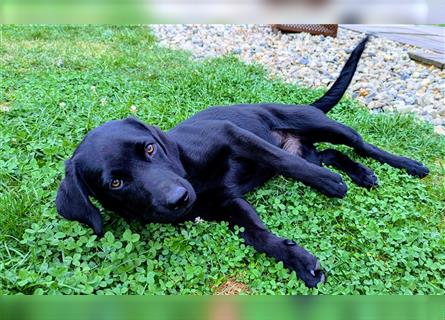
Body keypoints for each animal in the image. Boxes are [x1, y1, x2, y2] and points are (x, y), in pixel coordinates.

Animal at [55, 37, 426, 288]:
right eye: (116, 183)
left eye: (149, 149)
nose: (179, 199)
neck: (189, 170)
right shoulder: (227, 206)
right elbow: (261, 235)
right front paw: (300, 260)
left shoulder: (231, 134)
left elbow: (279, 159)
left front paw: (330, 184)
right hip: (307, 147)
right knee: (331, 155)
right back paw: (361, 173)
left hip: (319, 124)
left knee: (358, 144)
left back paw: (405, 165)